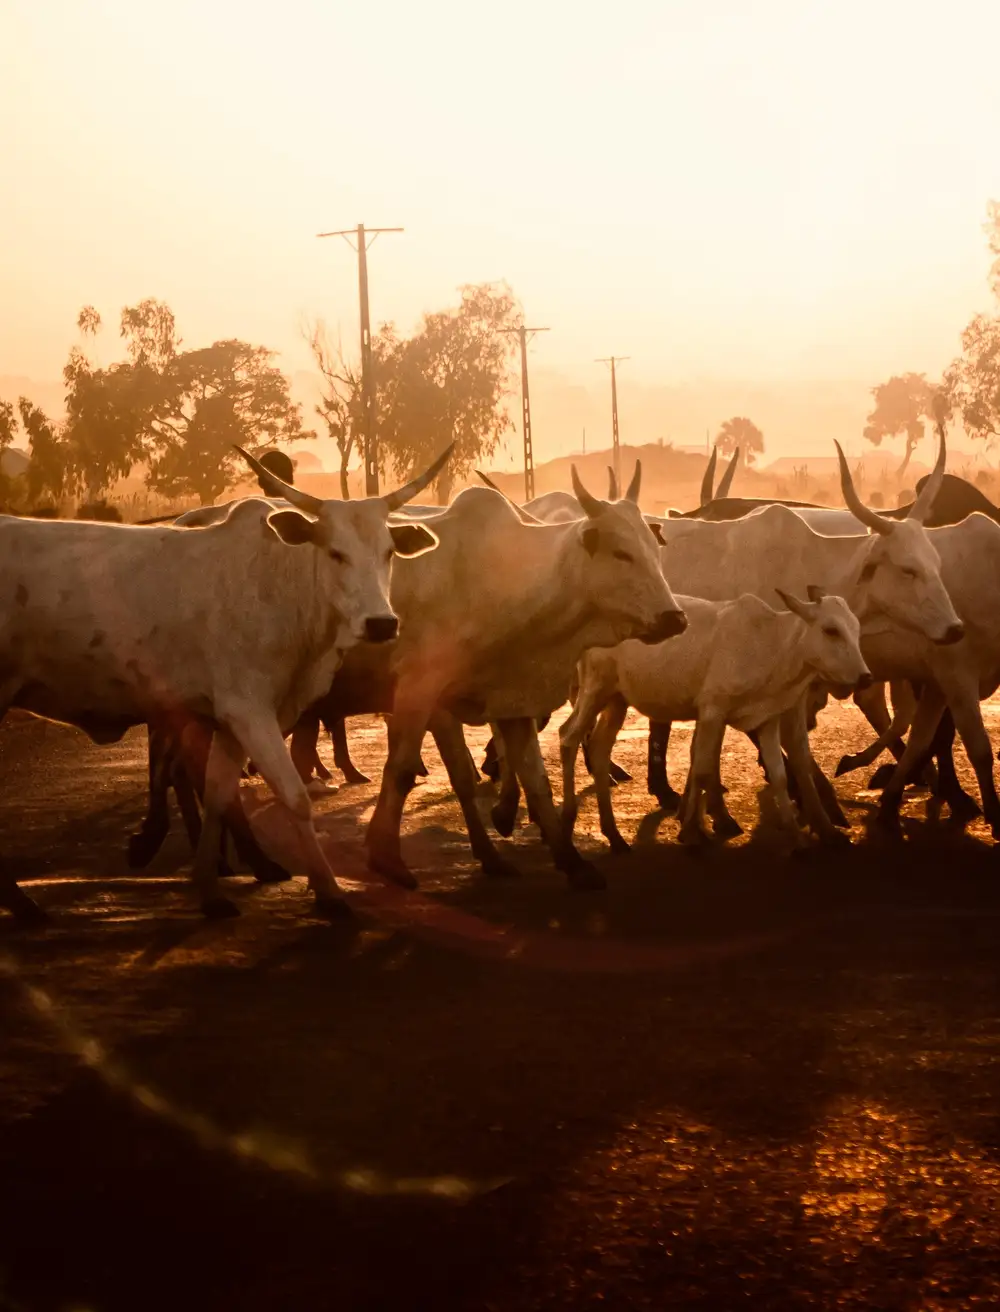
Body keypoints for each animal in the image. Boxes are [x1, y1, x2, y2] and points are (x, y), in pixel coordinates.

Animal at [0, 446, 443, 918]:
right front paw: (329, 891)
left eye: (389, 552)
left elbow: (218, 795)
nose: (381, 623)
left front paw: (210, 890)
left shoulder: (231, 721)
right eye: (336, 553)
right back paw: (23, 903)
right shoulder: (249, 711)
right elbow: (294, 797)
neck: (280, 584)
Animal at [561, 593, 866, 850]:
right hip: (595, 687)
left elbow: (779, 775)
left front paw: (797, 839)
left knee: (600, 748)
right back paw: (569, 822)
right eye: (830, 630)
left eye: (856, 629)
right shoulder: (712, 711)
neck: (771, 644)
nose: (866, 676)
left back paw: (613, 834)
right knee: (568, 736)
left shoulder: (767, 719)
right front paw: (692, 831)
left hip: (617, 700)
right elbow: (703, 769)